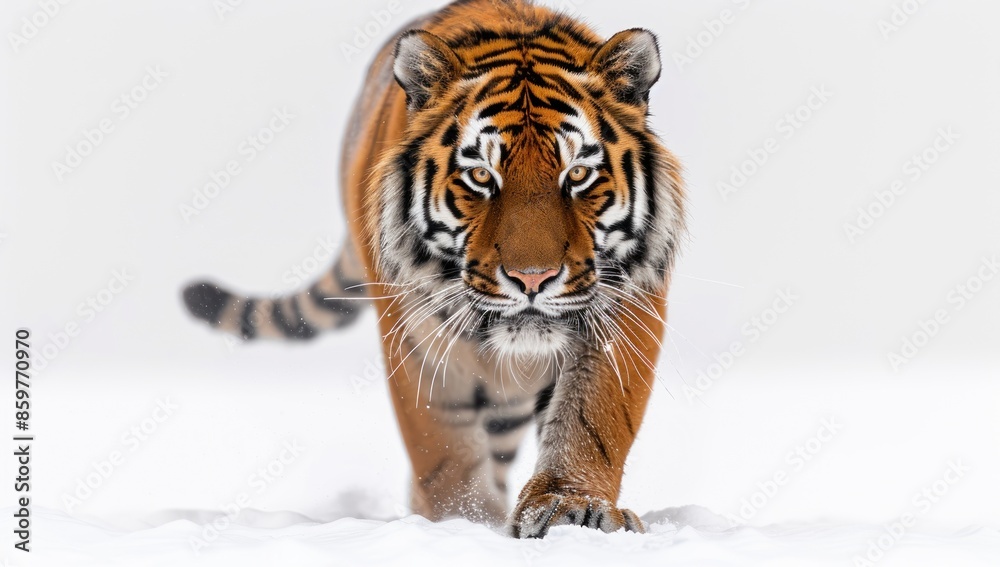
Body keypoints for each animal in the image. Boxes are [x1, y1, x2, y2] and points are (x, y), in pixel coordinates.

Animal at [182, 0, 685, 538]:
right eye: (481, 175)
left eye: (578, 174)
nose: (532, 279)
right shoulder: (415, 333)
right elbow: (440, 444)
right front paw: (461, 520)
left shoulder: (628, 305)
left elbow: (594, 418)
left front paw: (573, 508)